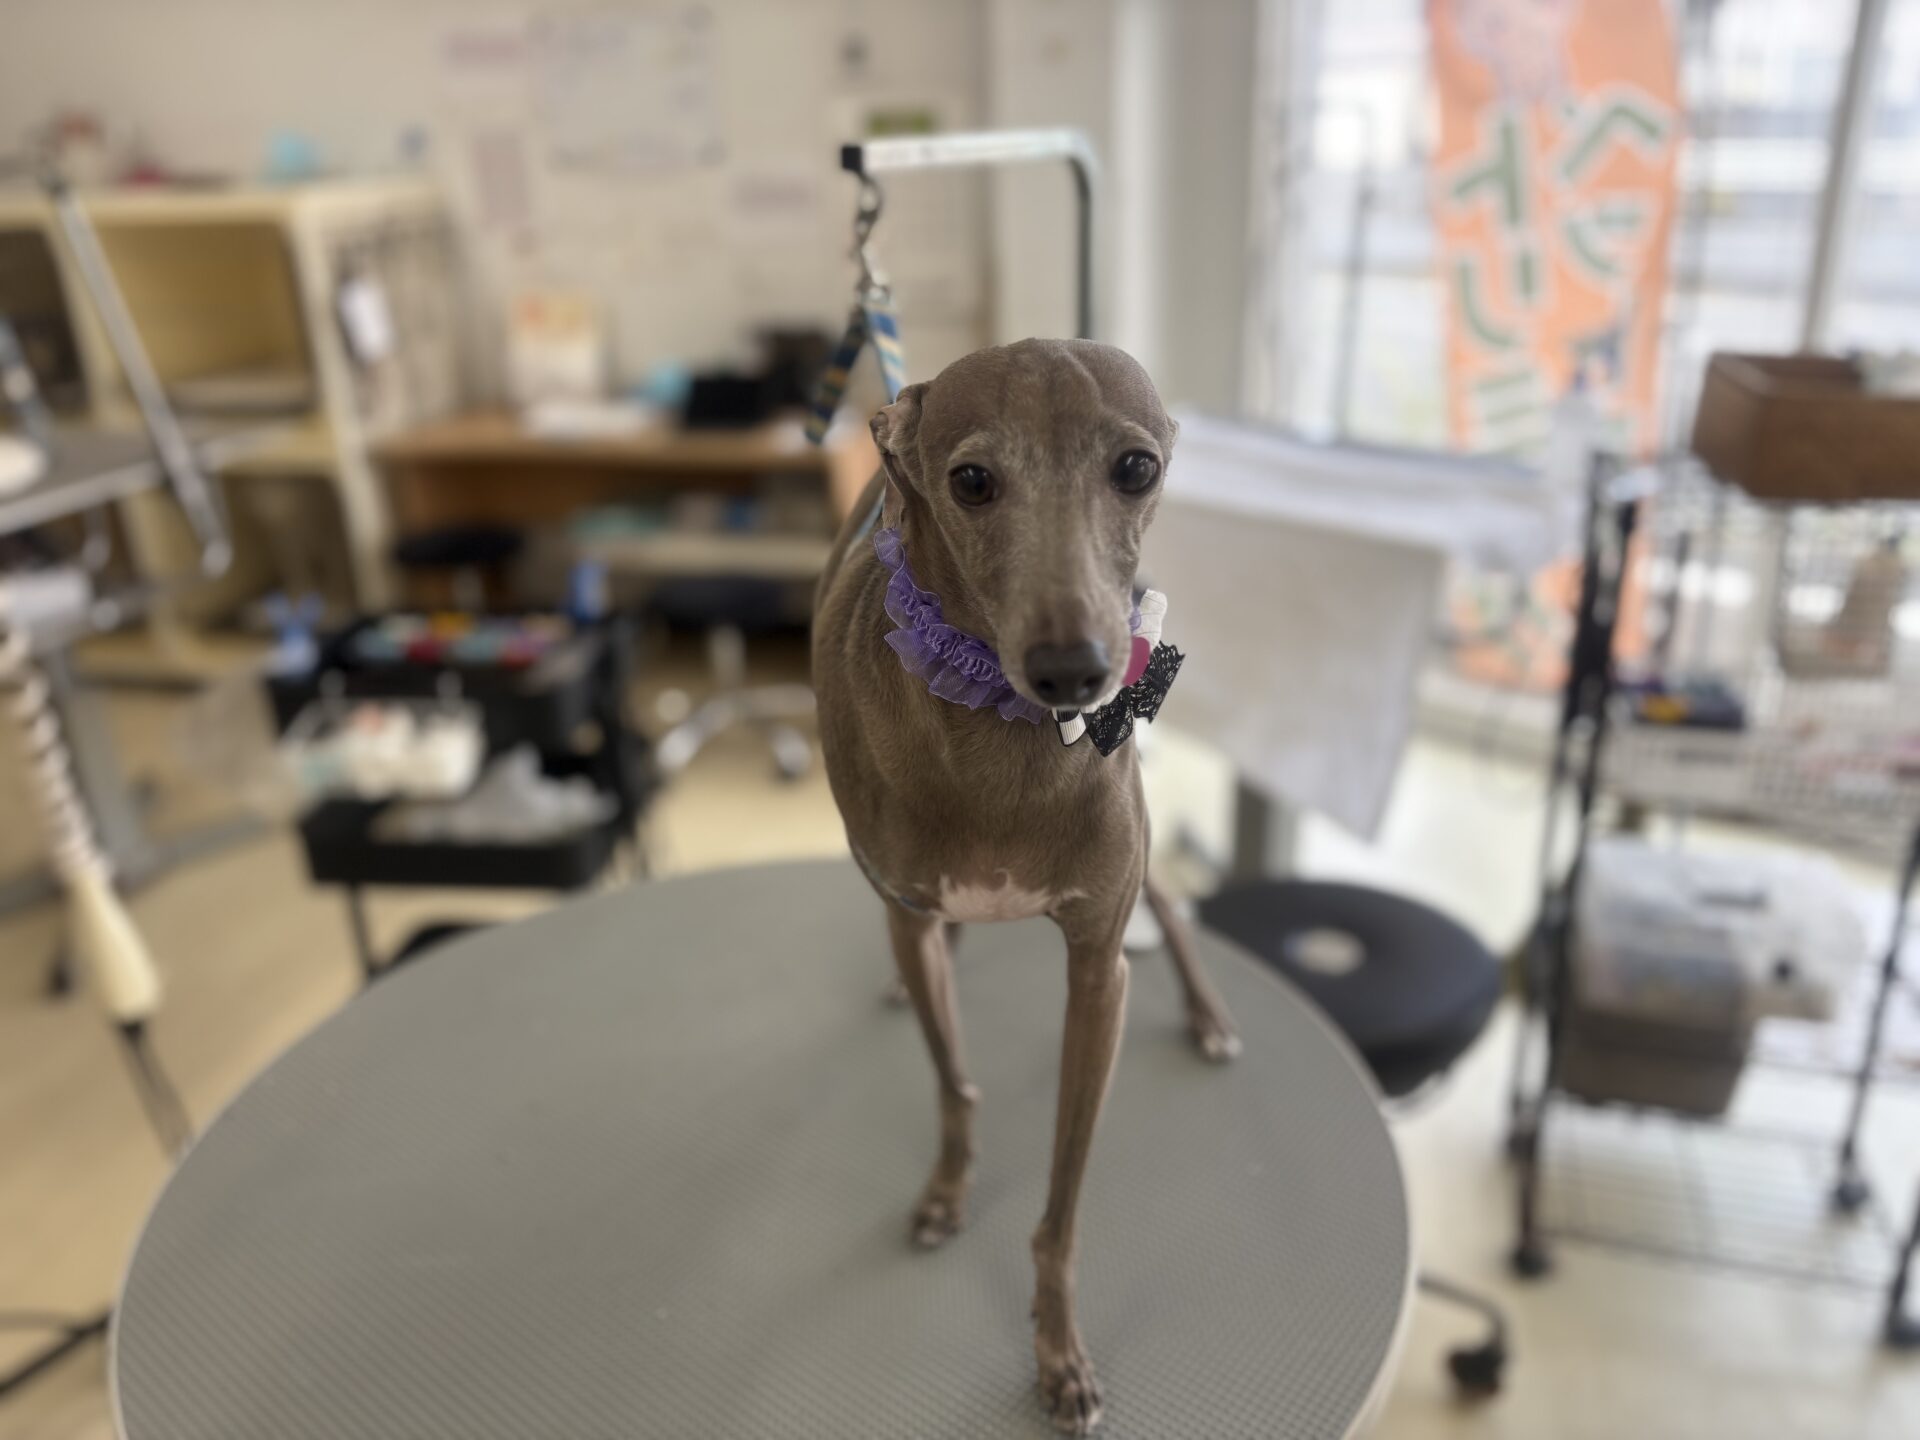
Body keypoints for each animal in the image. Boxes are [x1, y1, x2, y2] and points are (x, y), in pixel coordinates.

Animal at [812, 338, 1240, 1434]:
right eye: (970, 480)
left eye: (1136, 466)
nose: (1074, 673)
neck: (997, 738)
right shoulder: (912, 914)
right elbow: (954, 1080)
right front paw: (947, 1191)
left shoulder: (1096, 971)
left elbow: (1063, 1203)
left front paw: (1057, 1353)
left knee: (1170, 904)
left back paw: (1209, 1015)